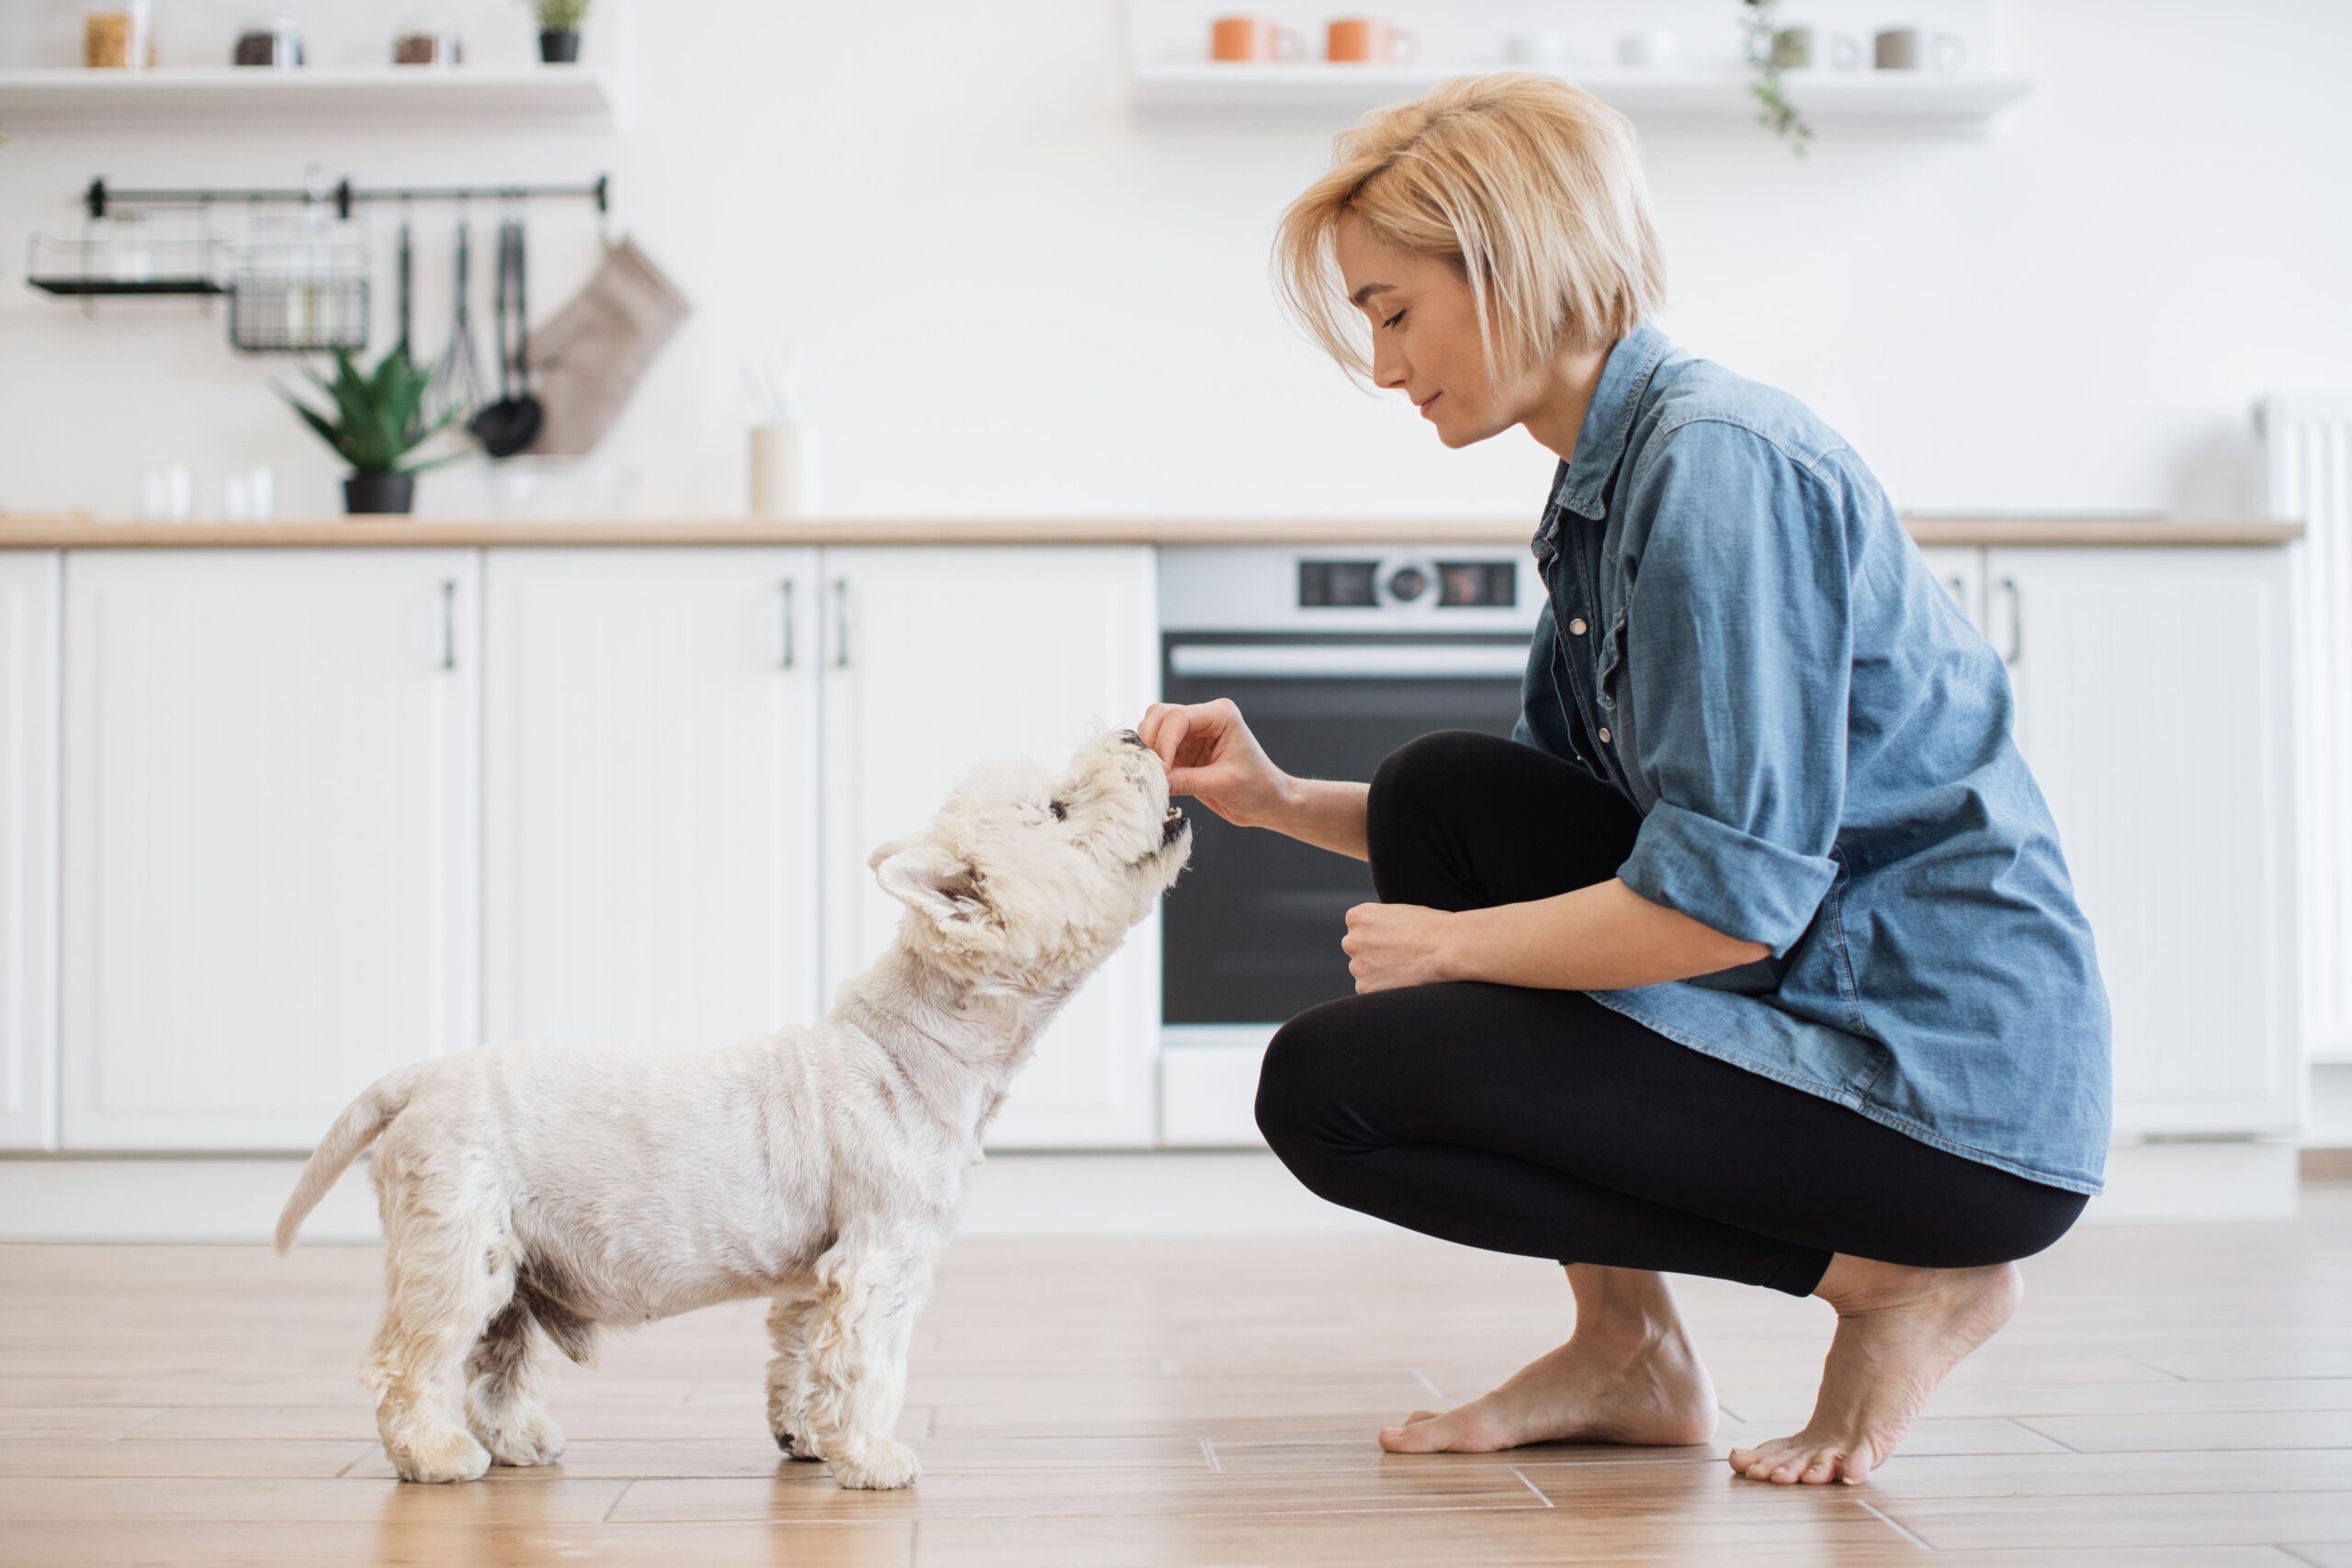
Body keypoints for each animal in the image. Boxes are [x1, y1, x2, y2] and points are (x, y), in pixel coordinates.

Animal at [275, 724, 1194, 1485]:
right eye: (1059, 807)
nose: (1132, 731)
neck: (914, 1044)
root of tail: (417, 1077)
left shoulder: (817, 1268)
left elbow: (799, 1352)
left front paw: (807, 1438)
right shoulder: (883, 1252)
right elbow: (868, 1361)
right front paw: (874, 1458)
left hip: (513, 1258)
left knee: (495, 1354)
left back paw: (519, 1442)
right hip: (457, 1242)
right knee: (412, 1358)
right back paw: (435, 1456)